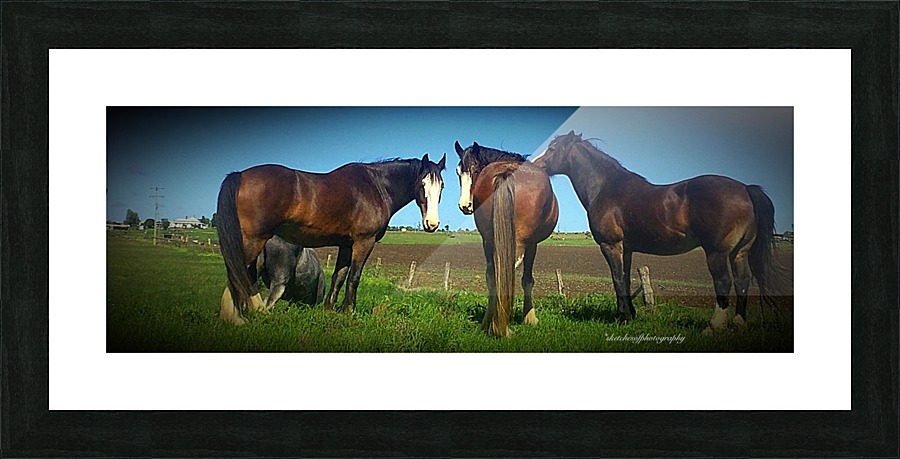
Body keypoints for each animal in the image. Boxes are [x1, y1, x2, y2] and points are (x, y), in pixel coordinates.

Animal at [216, 154, 446, 324]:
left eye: (441, 186)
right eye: (422, 184)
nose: (432, 223)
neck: (376, 187)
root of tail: (240, 175)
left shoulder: (346, 245)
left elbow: (339, 277)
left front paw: (330, 309)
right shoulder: (364, 242)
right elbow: (354, 277)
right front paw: (349, 311)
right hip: (253, 240)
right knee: (236, 272)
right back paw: (235, 319)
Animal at [455, 141, 559, 337]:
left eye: (475, 168)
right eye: (459, 173)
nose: (465, 205)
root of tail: (506, 172)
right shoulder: (532, 244)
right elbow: (527, 280)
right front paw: (530, 318)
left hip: (488, 240)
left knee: (492, 275)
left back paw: (489, 321)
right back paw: (502, 326)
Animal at [531, 131, 787, 332]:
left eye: (552, 148)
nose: (533, 165)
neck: (607, 188)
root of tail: (745, 189)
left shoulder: (611, 245)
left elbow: (617, 279)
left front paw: (622, 317)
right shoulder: (627, 248)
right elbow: (625, 279)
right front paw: (630, 315)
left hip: (717, 252)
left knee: (723, 282)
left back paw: (713, 327)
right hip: (740, 252)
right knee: (743, 281)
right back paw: (738, 323)